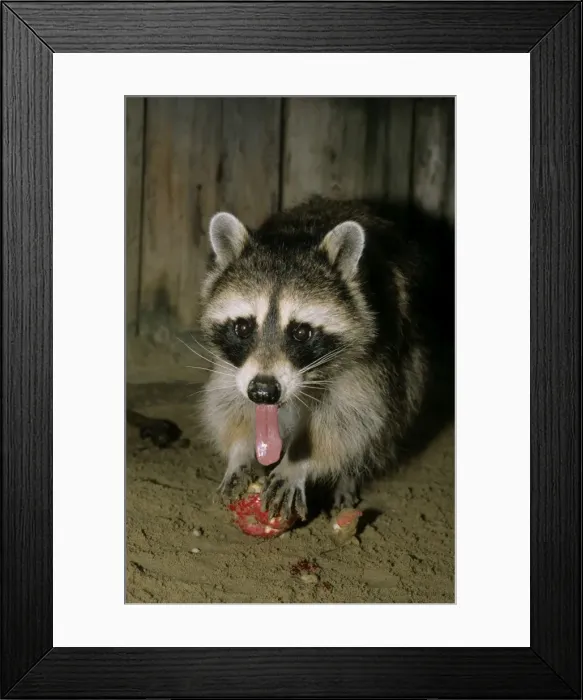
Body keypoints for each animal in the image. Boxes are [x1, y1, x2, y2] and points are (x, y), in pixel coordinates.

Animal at [198, 196, 454, 521]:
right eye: (243, 327)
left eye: (301, 332)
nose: (264, 392)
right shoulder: (235, 367)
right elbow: (228, 401)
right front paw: (241, 451)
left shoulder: (371, 358)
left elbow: (350, 419)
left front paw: (297, 464)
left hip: (411, 364)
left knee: (383, 424)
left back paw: (348, 478)